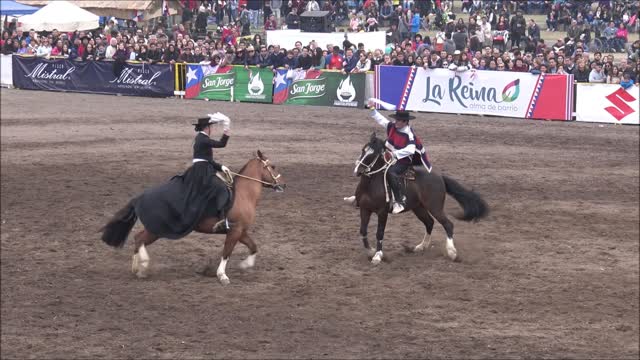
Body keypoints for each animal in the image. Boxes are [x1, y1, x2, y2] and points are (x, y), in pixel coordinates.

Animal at [100, 150, 284, 286]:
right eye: (273, 166)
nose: (282, 185)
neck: (243, 195)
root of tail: (140, 197)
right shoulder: (235, 231)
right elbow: (226, 253)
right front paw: (222, 275)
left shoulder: (241, 231)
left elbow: (253, 247)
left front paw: (246, 264)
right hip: (157, 230)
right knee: (139, 239)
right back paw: (143, 265)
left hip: (154, 230)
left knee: (138, 239)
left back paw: (136, 268)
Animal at [344, 134, 490, 262]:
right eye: (363, 150)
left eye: (374, 154)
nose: (357, 170)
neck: (370, 185)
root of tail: (440, 177)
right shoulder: (364, 209)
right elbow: (363, 231)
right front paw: (370, 251)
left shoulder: (382, 212)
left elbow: (379, 233)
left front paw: (378, 256)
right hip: (418, 208)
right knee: (429, 222)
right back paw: (421, 246)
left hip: (435, 207)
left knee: (448, 224)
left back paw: (452, 253)